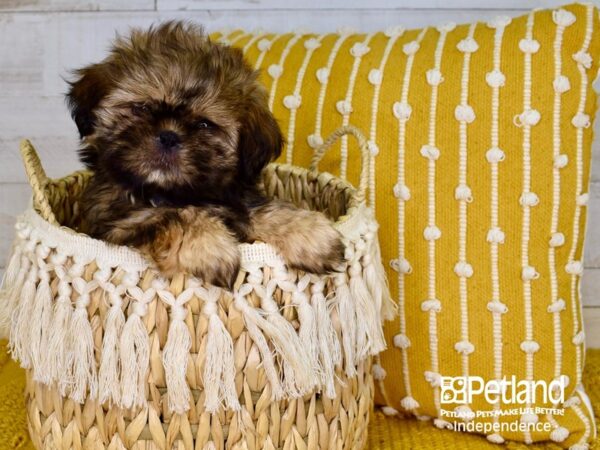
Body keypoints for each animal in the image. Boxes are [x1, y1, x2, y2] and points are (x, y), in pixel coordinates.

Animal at [66, 22, 344, 288]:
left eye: (204, 124)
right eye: (142, 108)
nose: (169, 136)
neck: (173, 193)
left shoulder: (235, 199)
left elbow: (258, 208)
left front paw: (309, 232)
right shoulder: (118, 220)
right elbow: (170, 215)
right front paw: (209, 246)